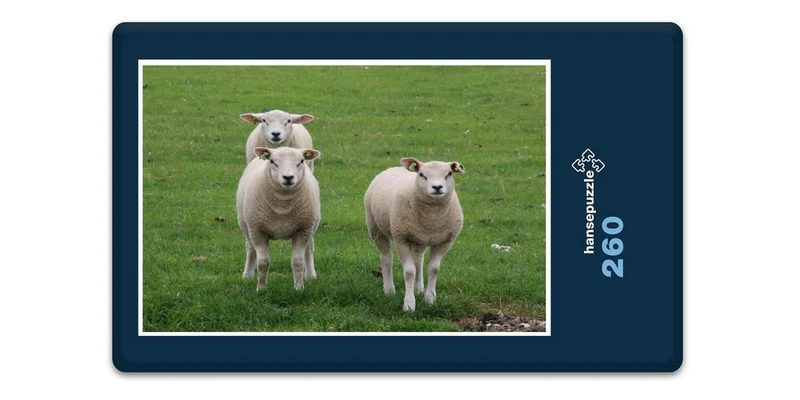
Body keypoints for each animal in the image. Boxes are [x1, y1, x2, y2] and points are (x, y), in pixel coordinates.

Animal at [236, 146, 322, 291]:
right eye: (272, 161)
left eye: (301, 161)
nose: (288, 177)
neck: (283, 208)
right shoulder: (258, 230)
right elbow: (263, 263)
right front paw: (261, 288)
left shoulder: (303, 229)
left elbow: (298, 262)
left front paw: (299, 288)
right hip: (246, 226)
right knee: (250, 248)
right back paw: (247, 276)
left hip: (312, 226)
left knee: (309, 249)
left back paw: (310, 276)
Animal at [364, 157, 465, 311]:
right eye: (422, 174)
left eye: (449, 173)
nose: (437, 187)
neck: (432, 217)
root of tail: (395, 167)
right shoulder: (401, 239)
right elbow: (409, 272)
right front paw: (409, 304)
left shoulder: (445, 241)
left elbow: (433, 269)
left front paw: (430, 299)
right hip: (375, 228)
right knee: (386, 258)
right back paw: (389, 289)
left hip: (419, 239)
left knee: (418, 260)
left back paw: (419, 289)